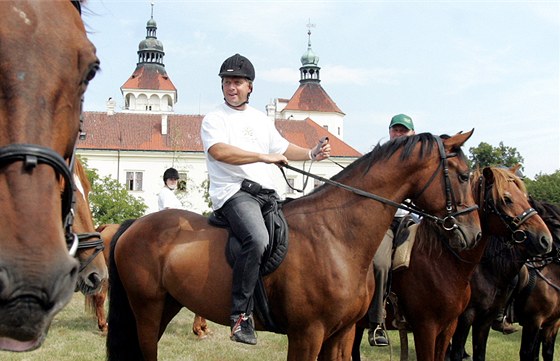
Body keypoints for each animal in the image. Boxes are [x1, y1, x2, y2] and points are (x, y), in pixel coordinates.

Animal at [106, 131, 482, 358]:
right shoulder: (307, 334)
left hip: (166, 305)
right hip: (147, 308)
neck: (336, 235)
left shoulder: (342, 334)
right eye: (464, 176)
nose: (473, 234)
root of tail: (134, 225)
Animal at [352, 166, 552, 360]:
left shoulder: (455, 325)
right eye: (507, 199)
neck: (443, 262)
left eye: (525, 197)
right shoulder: (427, 327)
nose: (545, 239)